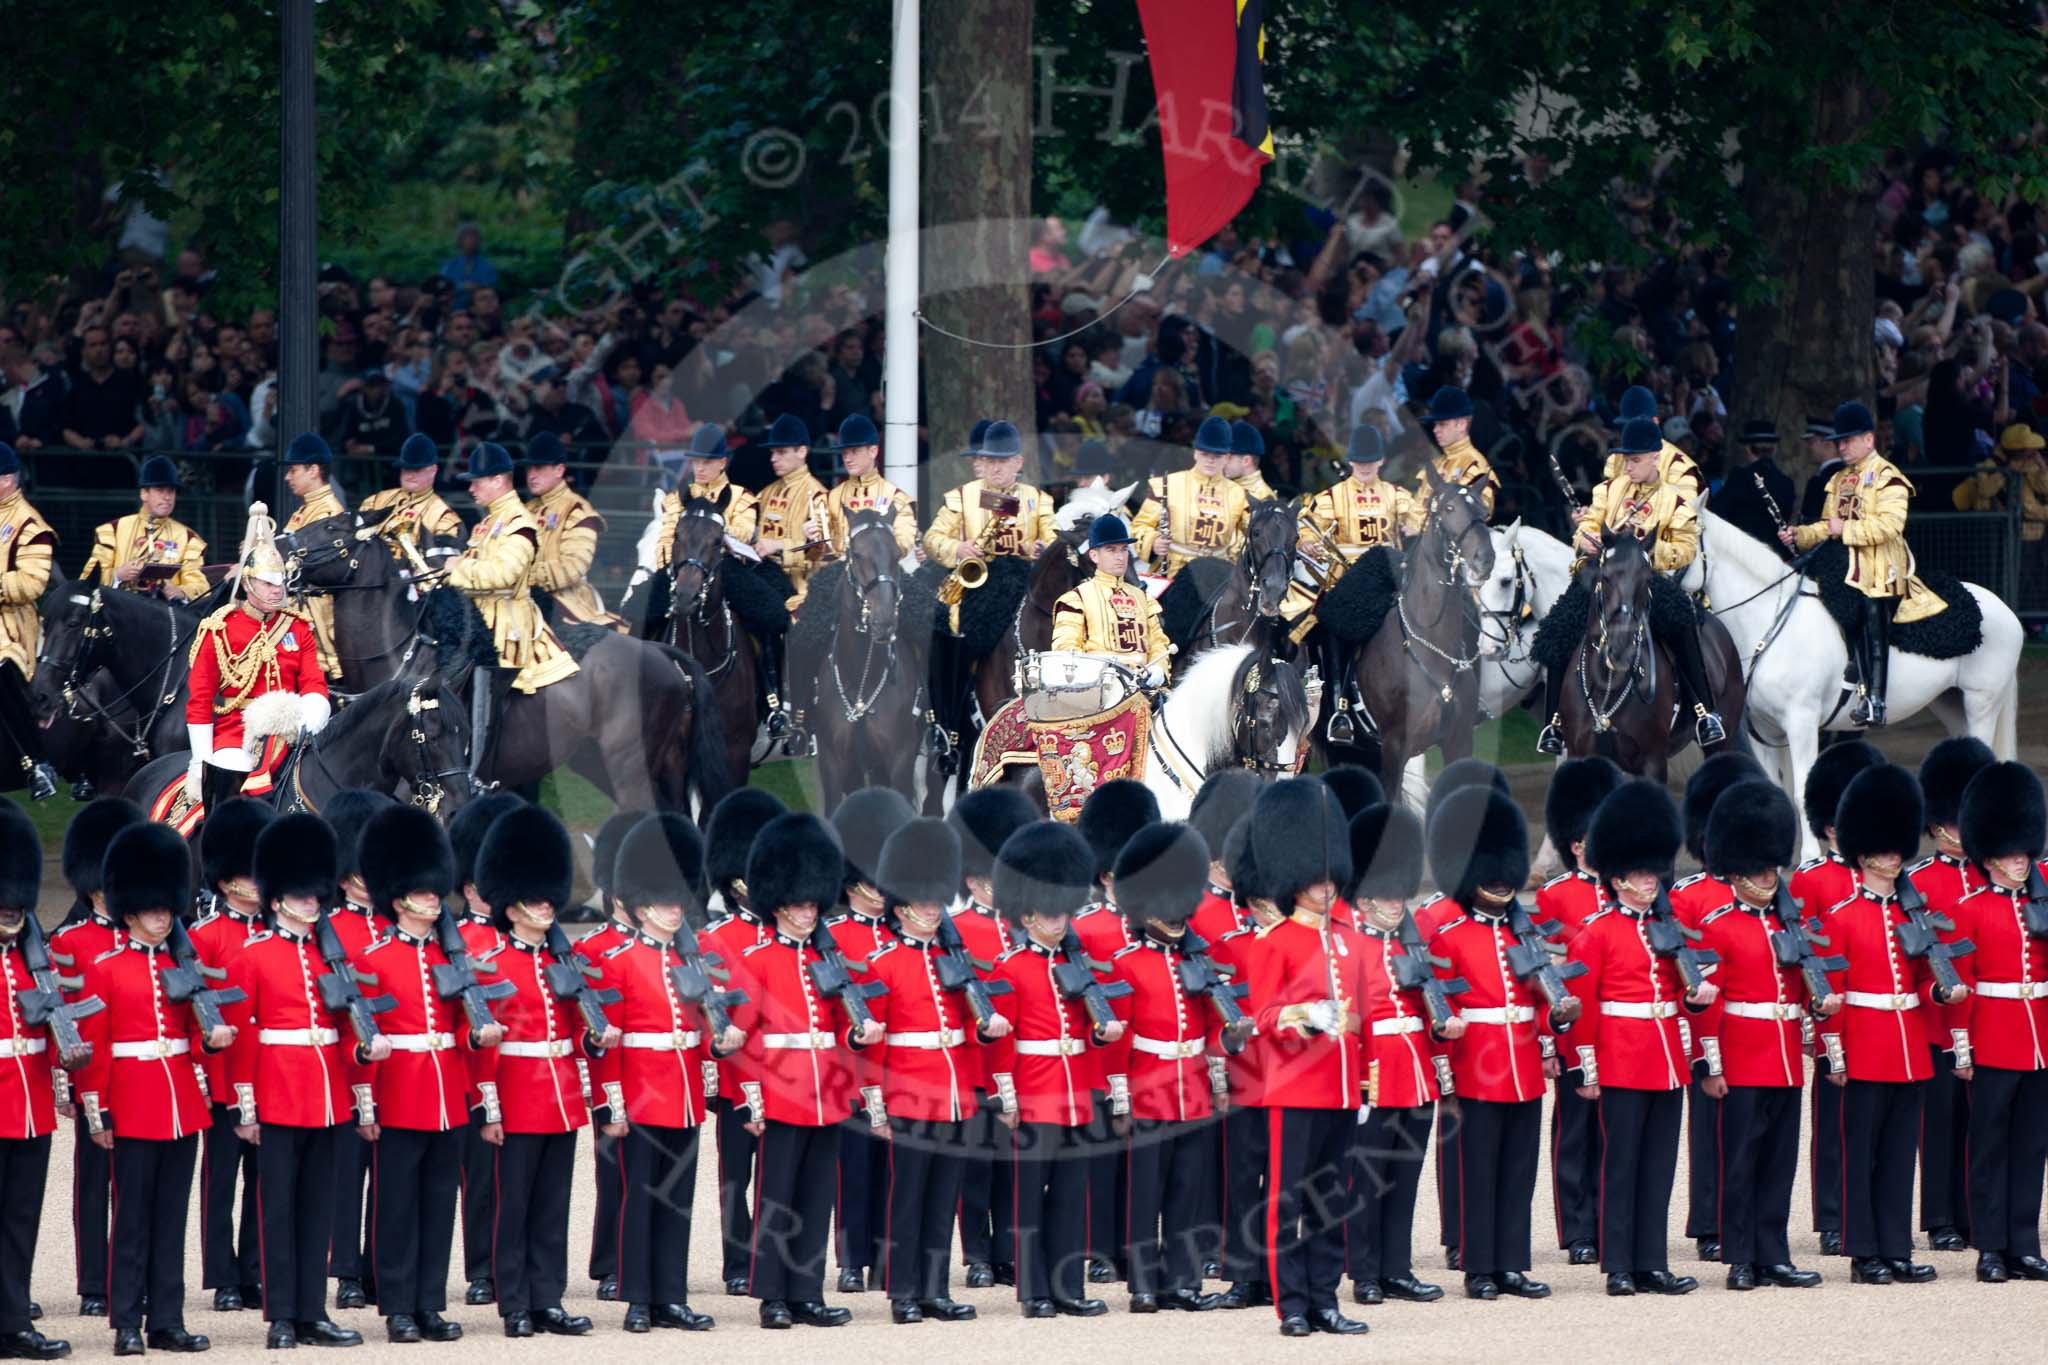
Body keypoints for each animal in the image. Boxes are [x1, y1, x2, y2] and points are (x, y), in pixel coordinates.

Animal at [1695, 515, 2015, 863]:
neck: (1771, 620)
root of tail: (2002, 608)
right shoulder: (1763, 729)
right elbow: (1773, 790)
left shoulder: (1801, 723)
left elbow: (1801, 789)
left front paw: (1809, 857)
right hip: (1951, 704)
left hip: (1981, 704)